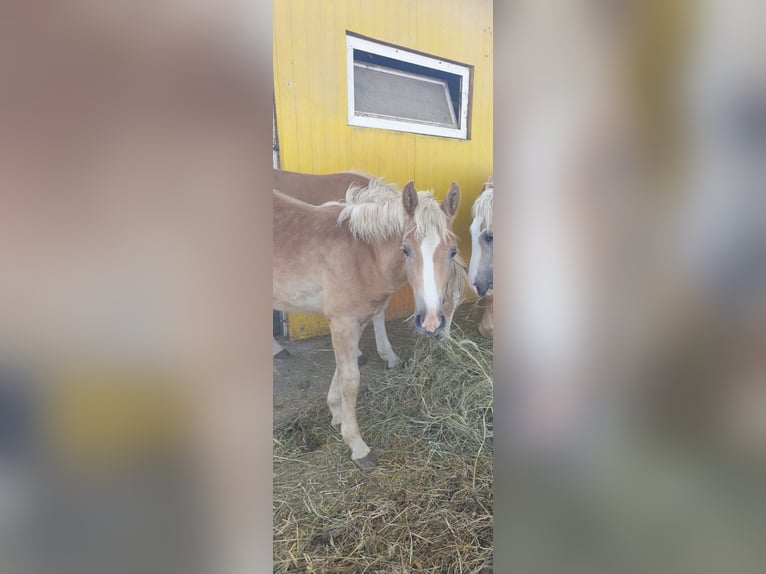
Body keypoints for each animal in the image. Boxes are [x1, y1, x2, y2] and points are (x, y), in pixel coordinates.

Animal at [274, 181, 462, 472]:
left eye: (452, 251)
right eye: (405, 249)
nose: (430, 322)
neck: (362, 254)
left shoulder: (358, 320)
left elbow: (342, 369)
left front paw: (336, 414)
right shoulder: (342, 322)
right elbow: (351, 379)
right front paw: (357, 446)